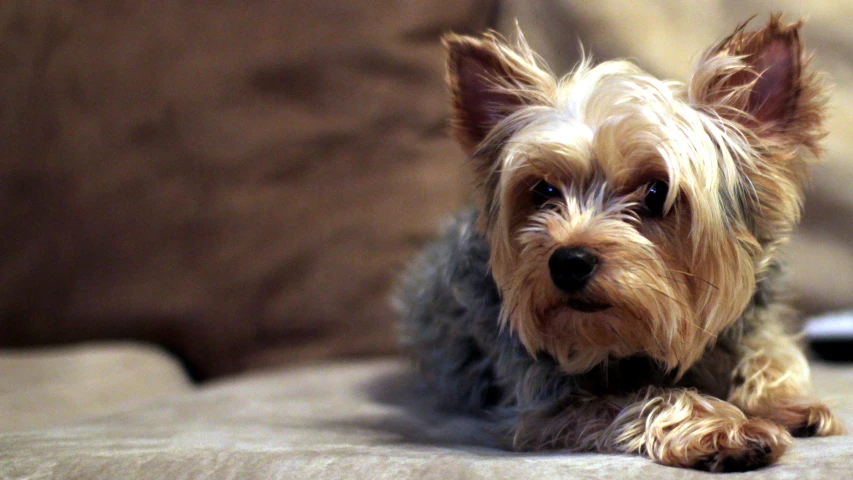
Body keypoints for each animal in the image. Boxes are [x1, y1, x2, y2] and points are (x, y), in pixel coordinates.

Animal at [400, 14, 844, 472]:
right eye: (543, 191)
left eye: (656, 192)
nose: (568, 261)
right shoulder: (545, 405)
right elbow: (642, 398)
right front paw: (724, 428)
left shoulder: (750, 322)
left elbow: (771, 350)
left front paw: (787, 403)